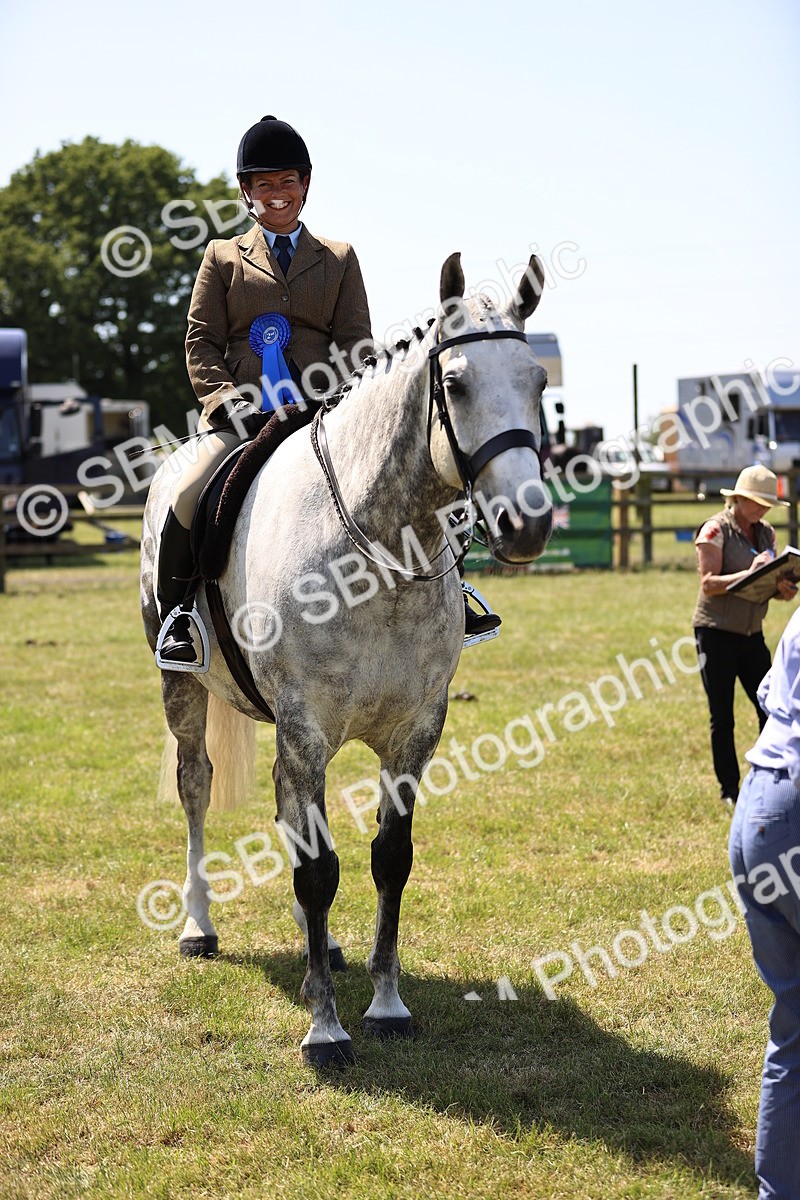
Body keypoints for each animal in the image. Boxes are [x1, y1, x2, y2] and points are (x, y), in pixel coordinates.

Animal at [140, 251, 553, 1066]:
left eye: (539, 381)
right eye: (455, 383)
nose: (526, 524)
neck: (377, 556)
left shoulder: (414, 734)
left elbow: (387, 857)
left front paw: (386, 1004)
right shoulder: (306, 731)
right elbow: (318, 870)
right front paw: (325, 1029)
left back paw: (318, 947)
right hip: (184, 690)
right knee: (197, 786)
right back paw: (199, 926)